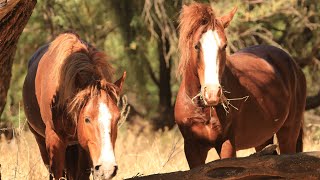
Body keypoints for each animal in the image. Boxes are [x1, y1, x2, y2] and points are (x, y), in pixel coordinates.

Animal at [22, 32, 126, 179]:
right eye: (87, 119)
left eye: (117, 119)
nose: (108, 168)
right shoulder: (54, 139)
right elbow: (57, 173)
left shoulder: (83, 147)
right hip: (41, 140)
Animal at [175, 2, 308, 169]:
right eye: (196, 46)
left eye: (224, 46)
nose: (212, 94)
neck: (203, 109)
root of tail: (294, 65)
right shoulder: (192, 148)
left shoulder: (226, 144)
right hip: (263, 138)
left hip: (288, 132)